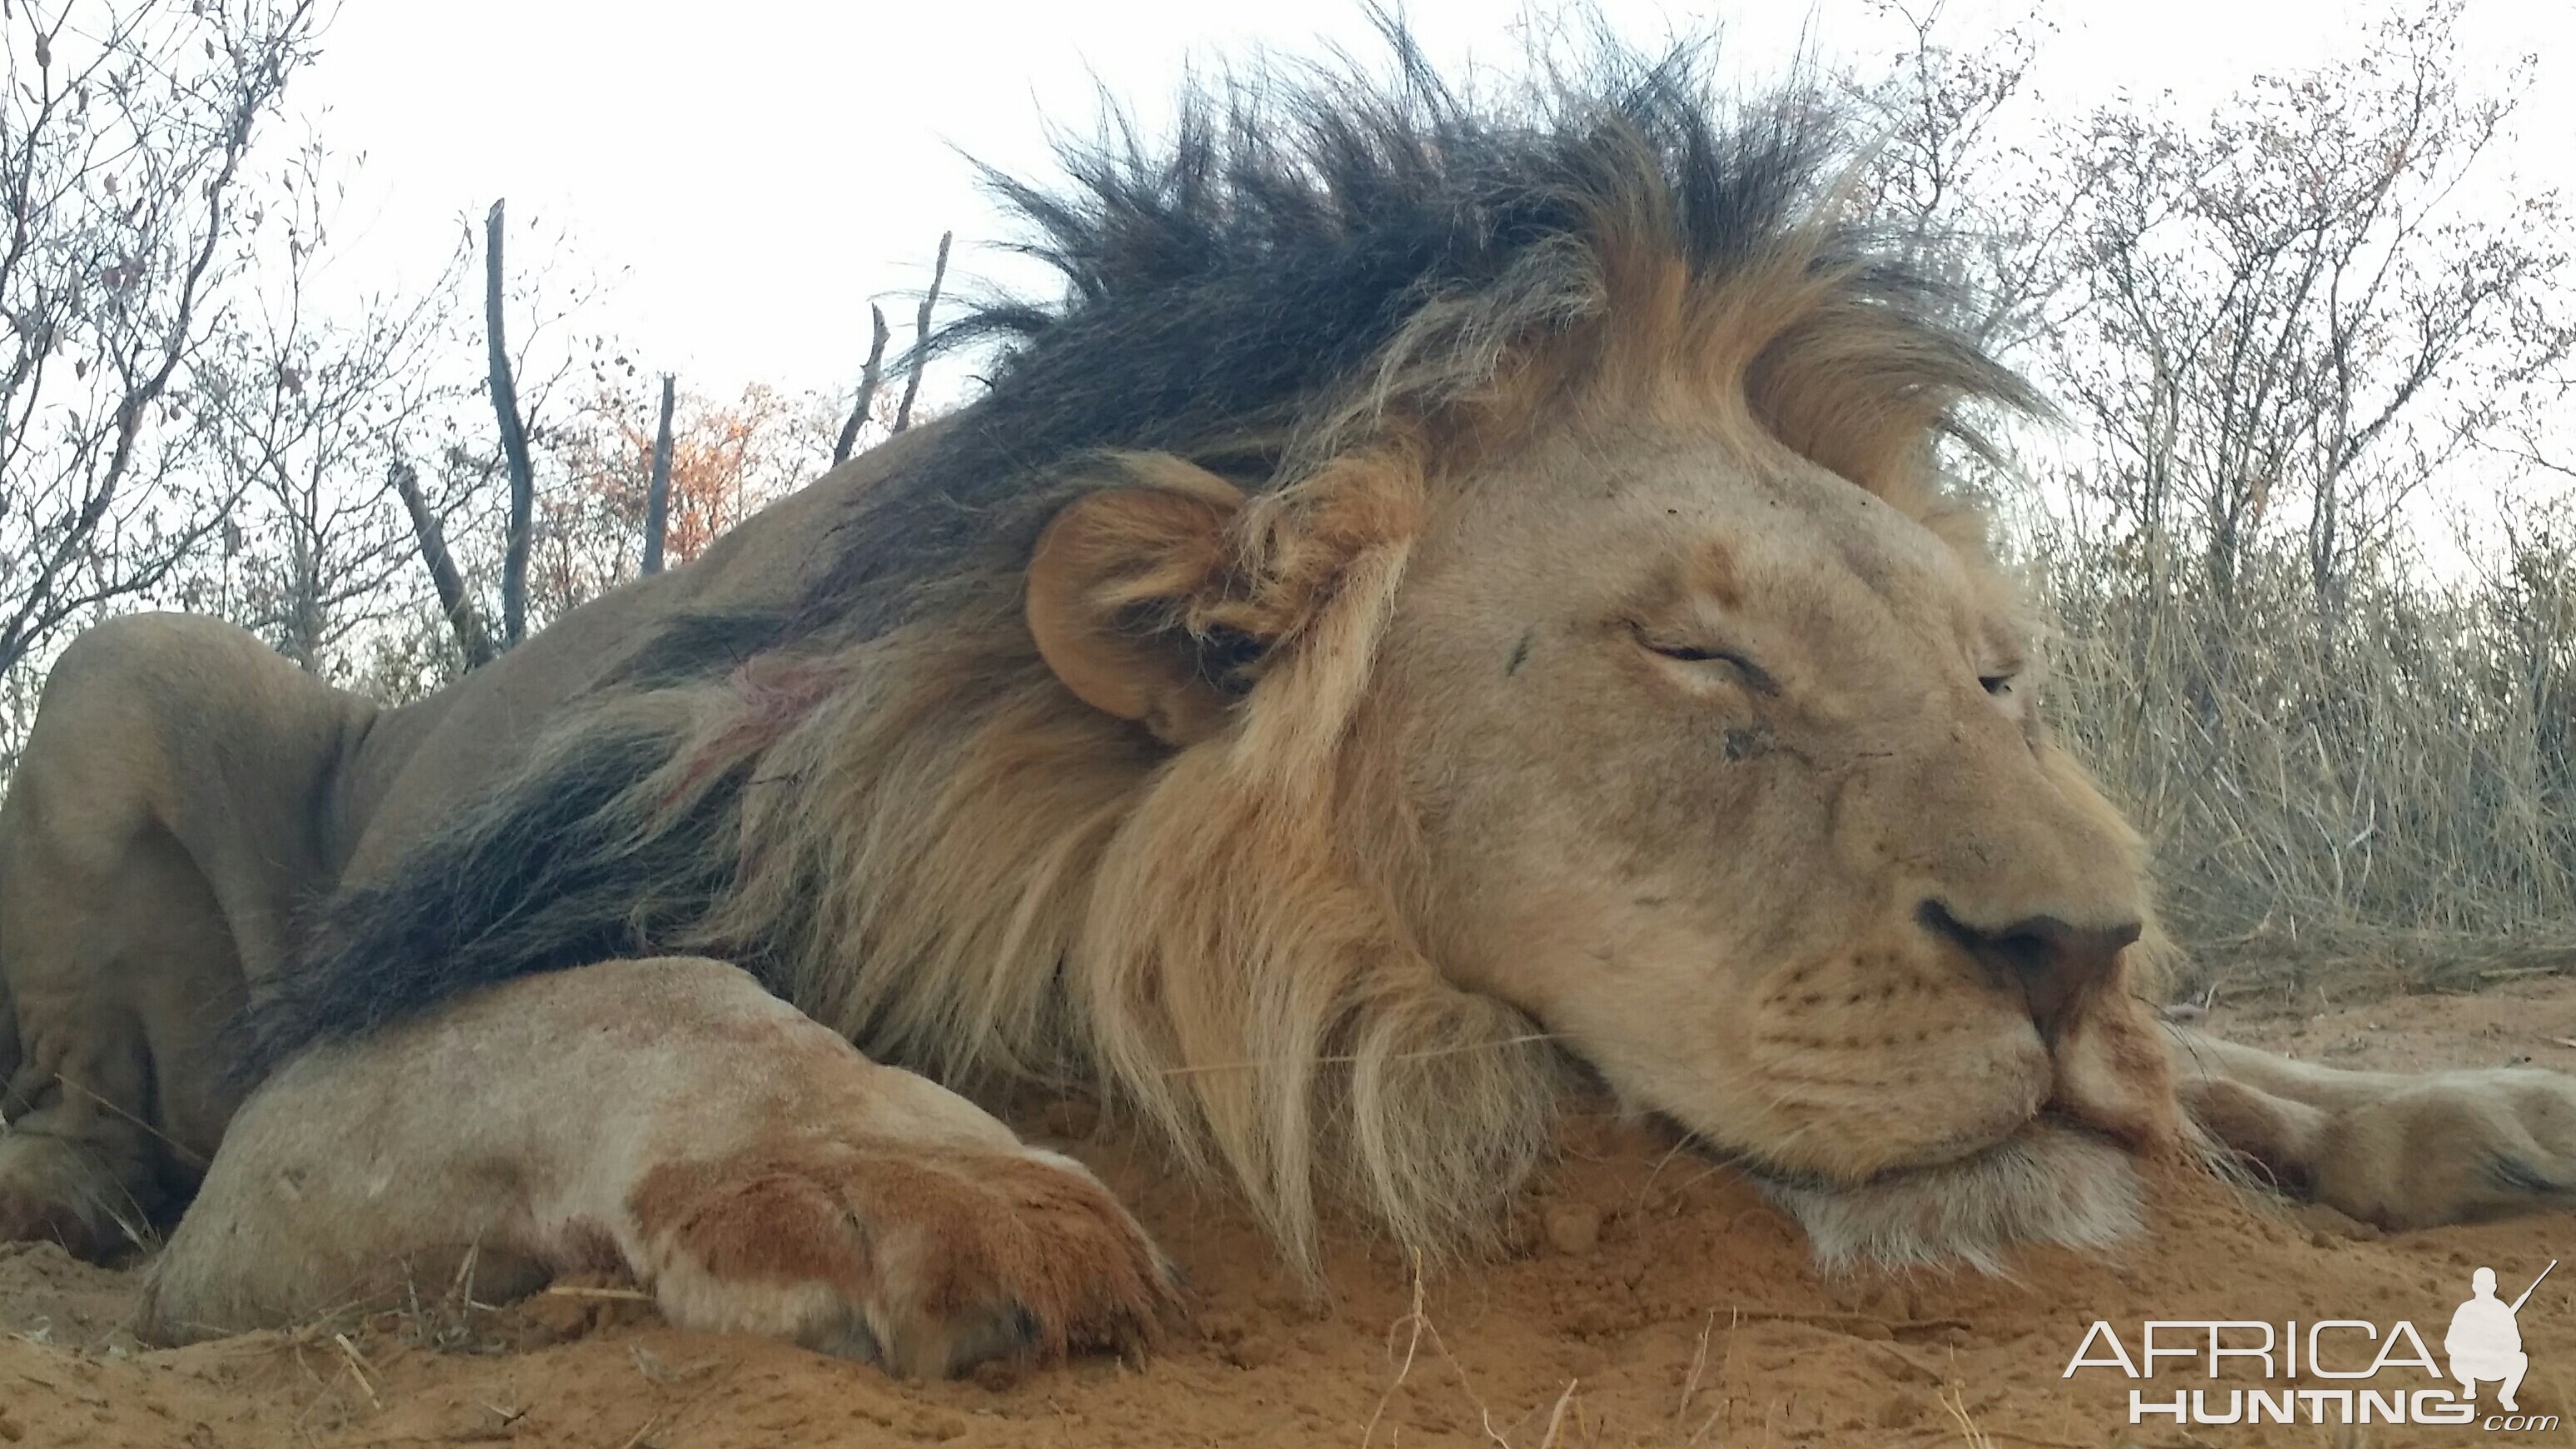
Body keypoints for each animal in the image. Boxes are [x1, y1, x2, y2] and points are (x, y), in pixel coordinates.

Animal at [5, 37, 2576, 1372]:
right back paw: (71, 1187)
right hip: (129, 658)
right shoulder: (340, 1100)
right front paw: (928, 1184)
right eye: (1701, 654)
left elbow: (2221, 1061)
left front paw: (2429, 1095)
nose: (2066, 948)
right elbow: (638, 996)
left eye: (1994, 675)